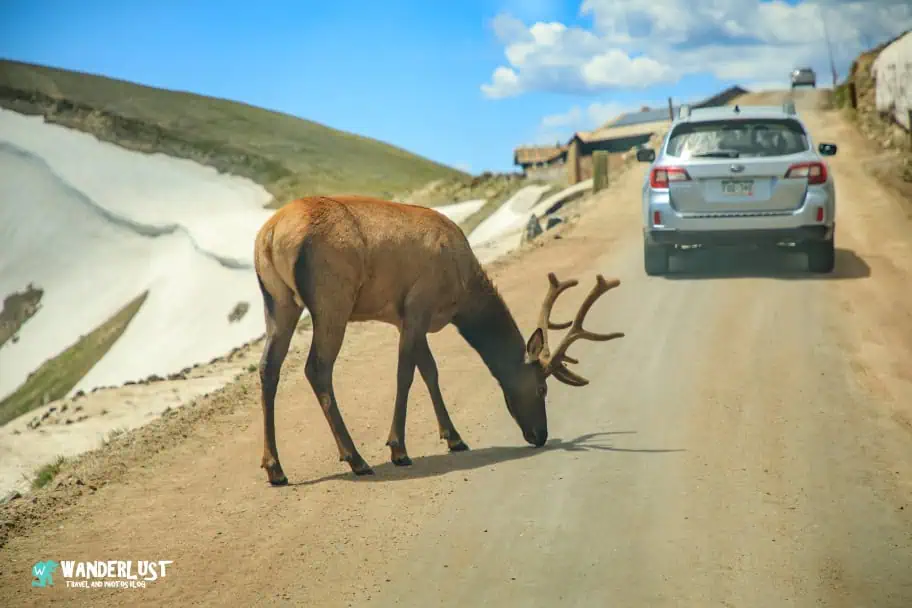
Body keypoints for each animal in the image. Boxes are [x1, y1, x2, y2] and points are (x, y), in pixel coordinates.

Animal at [253, 194, 624, 485]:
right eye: (542, 388)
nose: (541, 435)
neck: (462, 291)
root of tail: (269, 237)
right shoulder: (418, 305)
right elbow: (406, 375)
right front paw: (398, 448)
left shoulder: (408, 318)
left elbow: (430, 371)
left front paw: (454, 438)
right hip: (332, 297)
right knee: (317, 368)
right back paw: (356, 458)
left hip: (278, 301)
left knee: (268, 367)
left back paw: (275, 468)